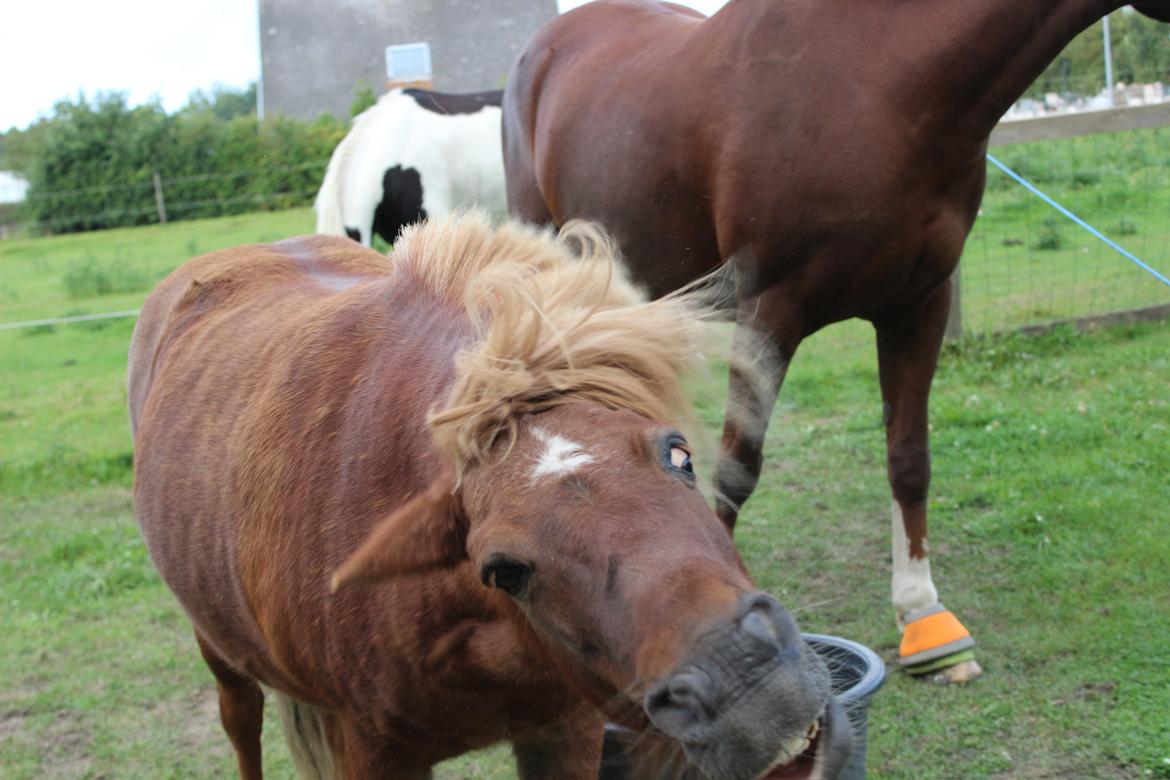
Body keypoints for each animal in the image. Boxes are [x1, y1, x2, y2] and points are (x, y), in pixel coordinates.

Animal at [127, 213, 853, 779]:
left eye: (679, 455)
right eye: (505, 569)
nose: (747, 680)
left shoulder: (566, 732)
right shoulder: (372, 752)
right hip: (218, 652)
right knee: (241, 726)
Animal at [502, 0, 1170, 684]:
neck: (874, 81)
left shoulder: (918, 307)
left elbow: (909, 459)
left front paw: (924, 618)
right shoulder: (771, 310)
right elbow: (739, 465)